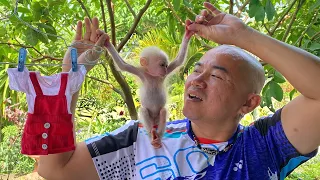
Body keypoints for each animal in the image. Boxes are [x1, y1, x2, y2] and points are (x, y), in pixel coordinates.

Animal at [106, 20, 194, 148]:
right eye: (162, 65)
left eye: (166, 65)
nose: (165, 70)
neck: (152, 75)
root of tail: (154, 124)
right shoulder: (140, 72)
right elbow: (122, 65)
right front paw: (107, 44)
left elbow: (179, 60)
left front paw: (188, 33)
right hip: (149, 119)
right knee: (143, 111)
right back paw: (152, 135)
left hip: (158, 118)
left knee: (163, 112)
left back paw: (158, 137)